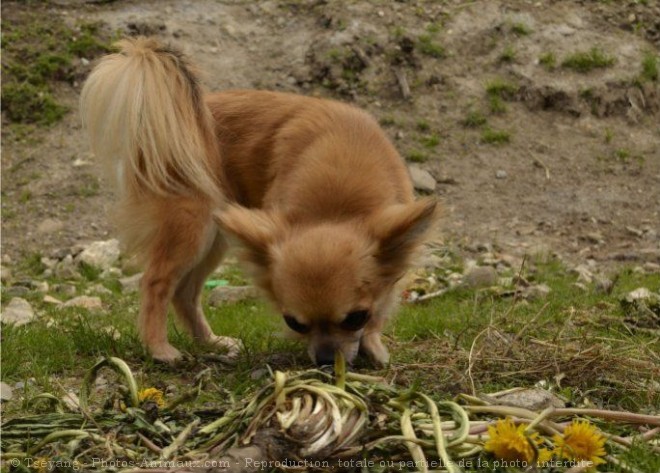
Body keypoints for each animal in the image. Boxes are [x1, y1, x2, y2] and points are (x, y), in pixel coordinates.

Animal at [81, 38, 438, 366]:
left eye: (356, 318)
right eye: (294, 323)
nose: (324, 360)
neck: (338, 201)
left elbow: (385, 297)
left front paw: (373, 343)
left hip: (218, 234)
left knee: (185, 292)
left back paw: (210, 343)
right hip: (191, 226)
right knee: (156, 282)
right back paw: (159, 349)